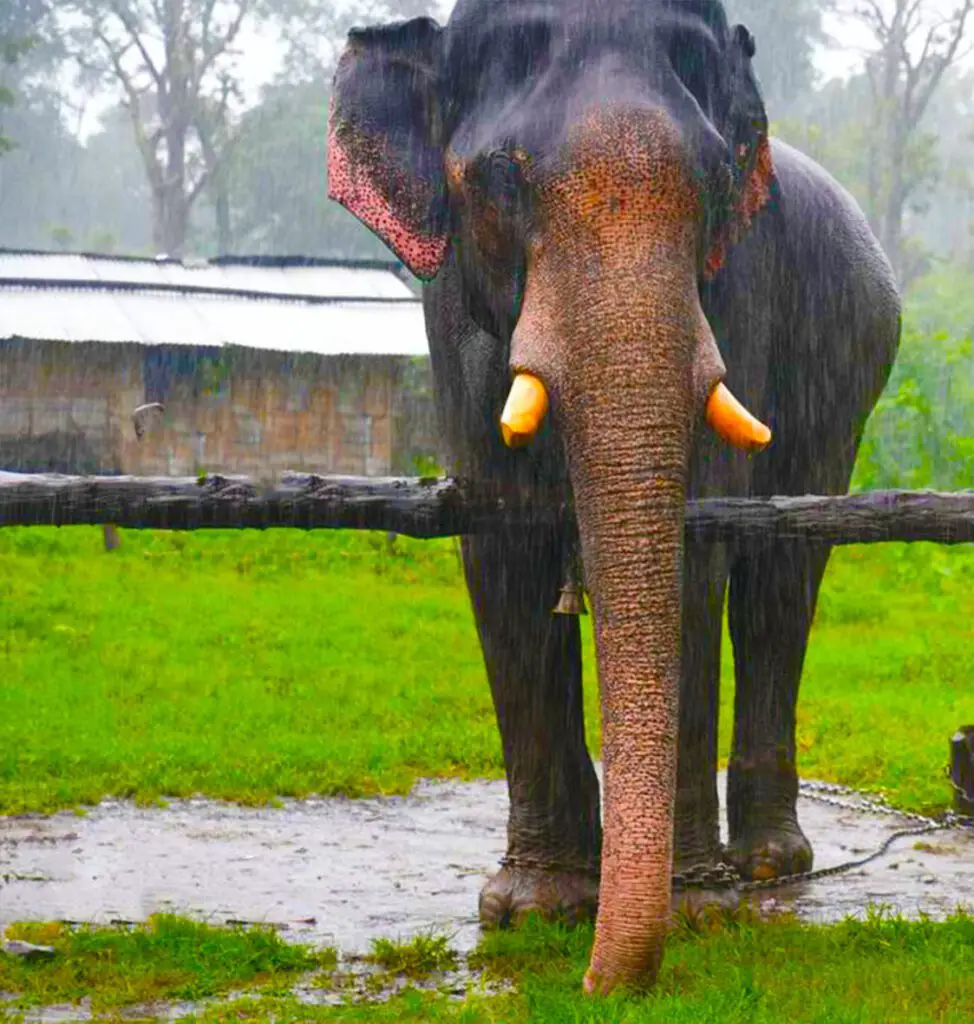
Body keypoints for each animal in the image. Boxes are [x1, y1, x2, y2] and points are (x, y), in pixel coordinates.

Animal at [331, 0, 901, 995]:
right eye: (500, 179)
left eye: (713, 184)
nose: (596, 989)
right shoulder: (452, 325)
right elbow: (501, 550)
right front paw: (533, 910)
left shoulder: (736, 295)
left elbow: (697, 551)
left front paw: (699, 911)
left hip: (849, 373)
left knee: (779, 583)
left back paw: (769, 868)